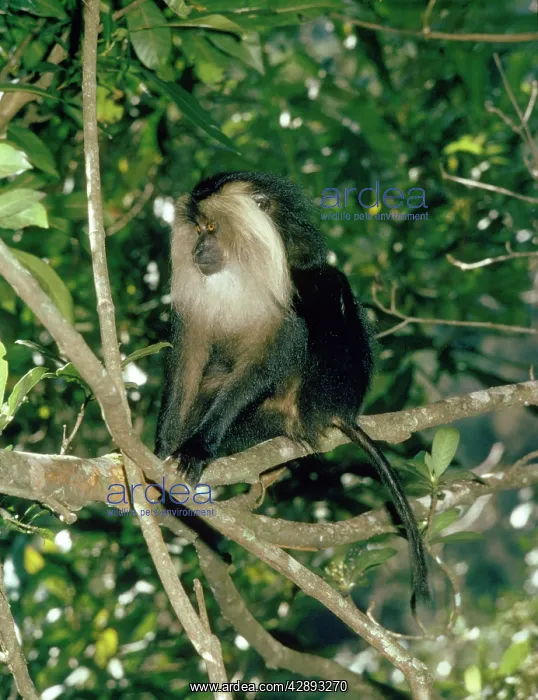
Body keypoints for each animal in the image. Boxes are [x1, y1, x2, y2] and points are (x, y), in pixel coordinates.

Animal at [155, 171, 429, 606]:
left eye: (211, 228)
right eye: (197, 230)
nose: (199, 248)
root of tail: (339, 411)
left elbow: (279, 344)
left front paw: (197, 448)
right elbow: (190, 359)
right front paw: (162, 451)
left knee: (324, 287)